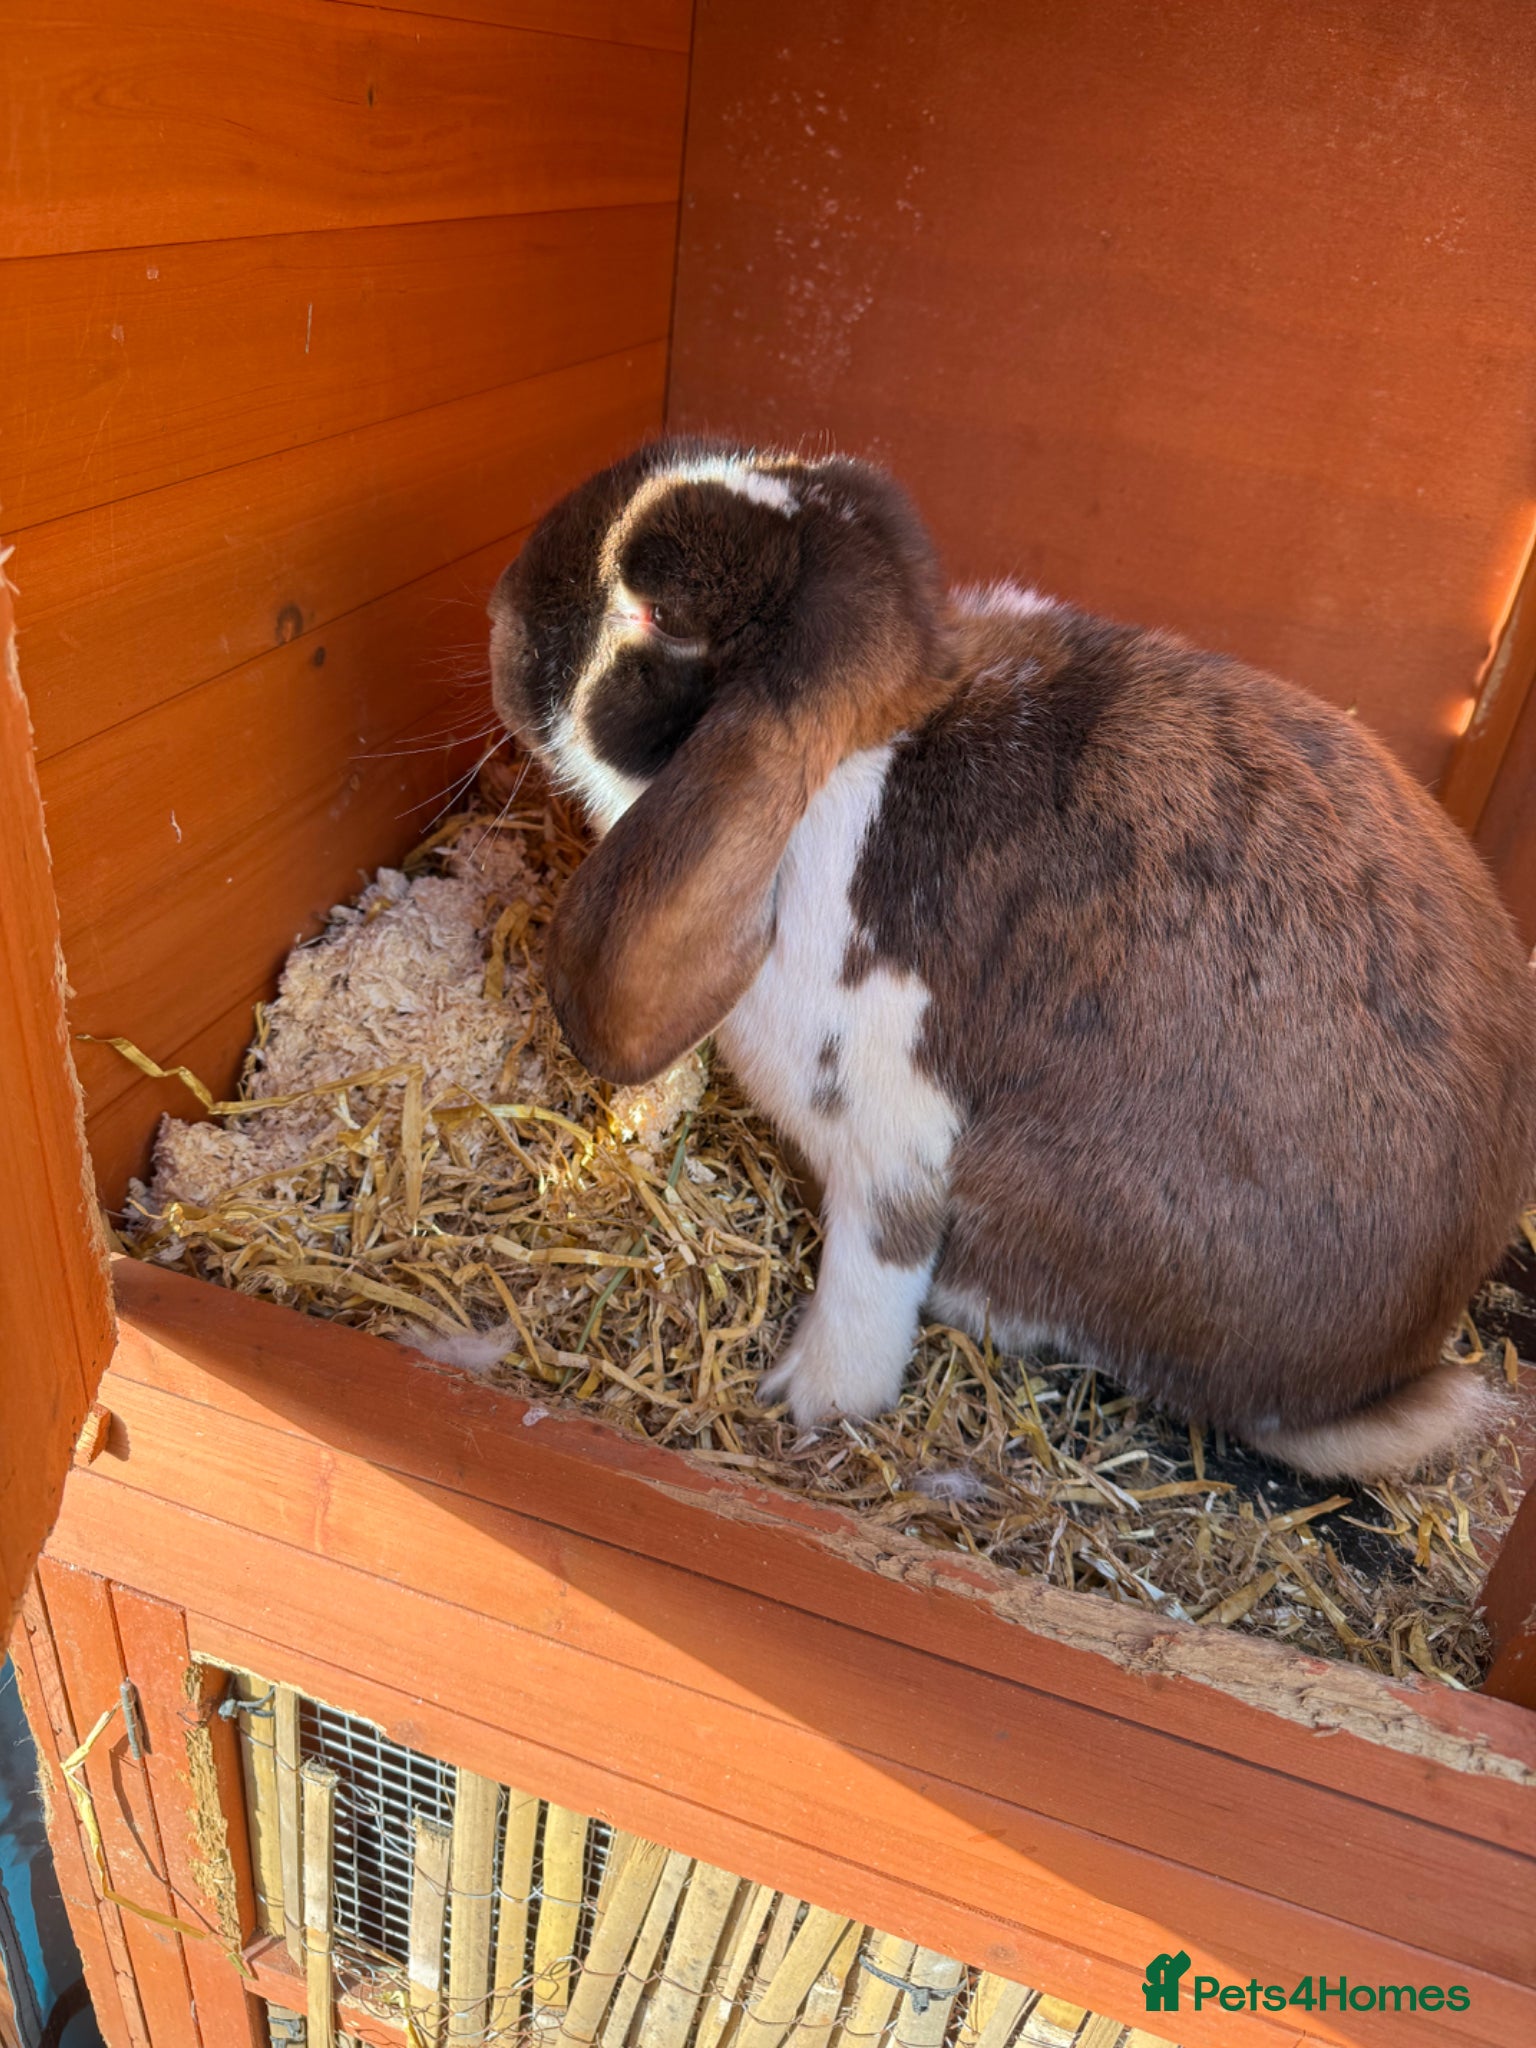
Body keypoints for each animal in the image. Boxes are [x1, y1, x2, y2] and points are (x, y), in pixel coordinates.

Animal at [488, 439, 1536, 1480]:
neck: (856, 764)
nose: (499, 614)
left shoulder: (888, 1131)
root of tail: (1377, 1377)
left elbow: (873, 1277)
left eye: (660, 616)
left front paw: (811, 1399)